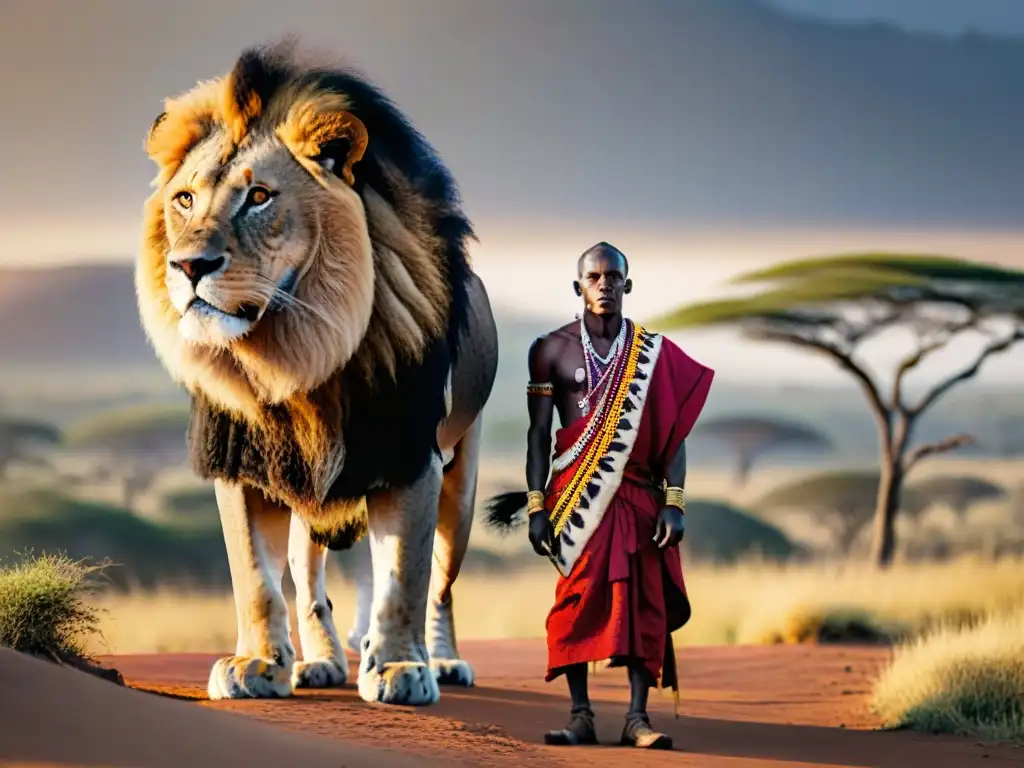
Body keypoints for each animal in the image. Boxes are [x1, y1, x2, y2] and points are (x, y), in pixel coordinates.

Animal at [134, 39, 497, 708]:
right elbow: (255, 578)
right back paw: (320, 662)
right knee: (309, 583)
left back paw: (442, 660)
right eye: (185, 199)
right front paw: (257, 664)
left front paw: (401, 667)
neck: (294, 355)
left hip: (461, 485)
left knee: (441, 584)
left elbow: (403, 577)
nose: (189, 265)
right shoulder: (243, 461)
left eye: (258, 197)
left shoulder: (411, 455)